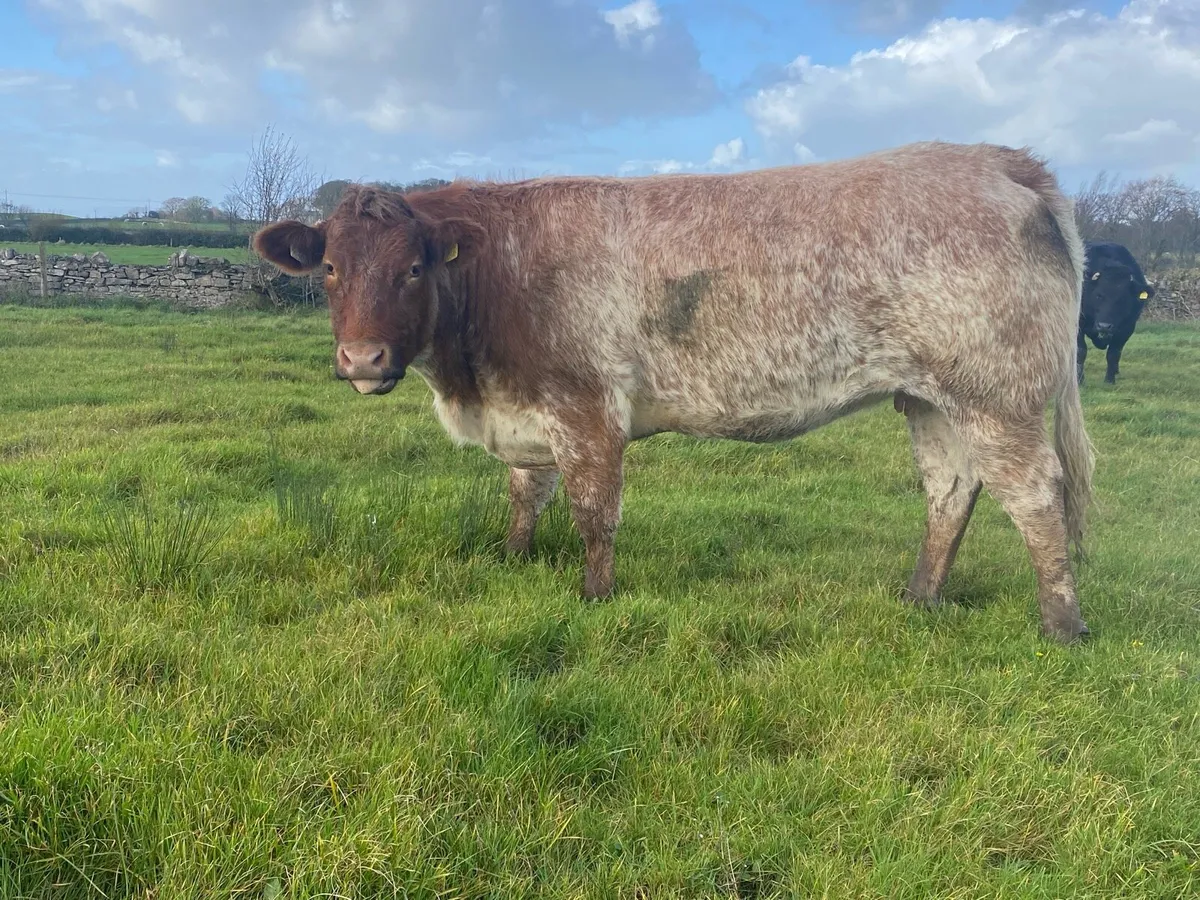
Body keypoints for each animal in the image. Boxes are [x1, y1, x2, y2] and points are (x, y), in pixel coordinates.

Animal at [253, 140, 1095, 644]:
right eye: (331, 269)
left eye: (412, 268)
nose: (362, 358)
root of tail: (998, 161)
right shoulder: (527, 409)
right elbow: (526, 492)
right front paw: (513, 559)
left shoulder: (586, 406)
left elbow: (594, 513)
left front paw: (594, 598)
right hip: (933, 397)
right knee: (950, 489)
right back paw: (922, 597)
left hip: (999, 393)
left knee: (1035, 494)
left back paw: (1061, 624)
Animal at [1077, 240, 1155, 384]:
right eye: (1098, 295)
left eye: (1123, 298)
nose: (1104, 326)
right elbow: (1081, 351)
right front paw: (1080, 380)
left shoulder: (1127, 329)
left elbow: (1113, 354)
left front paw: (1109, 380)